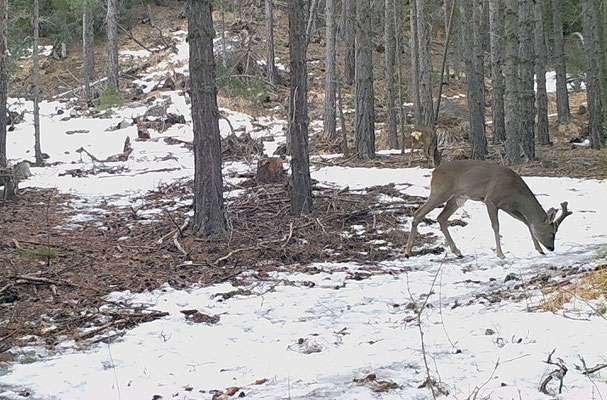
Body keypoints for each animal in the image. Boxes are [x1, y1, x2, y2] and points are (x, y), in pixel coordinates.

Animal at [406, 159, 572, 260]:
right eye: (552, 232)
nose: (551, 248)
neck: (515, 192)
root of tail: (434, 172)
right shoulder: (491, 199)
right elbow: (496, 226)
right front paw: (501, 254)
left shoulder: (508, 206)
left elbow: (526, 222)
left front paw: (539, 249)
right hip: (440, 192)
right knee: (418, 213)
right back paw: (407, 251)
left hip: (456, 198)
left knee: (441, 218)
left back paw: (458, 252)